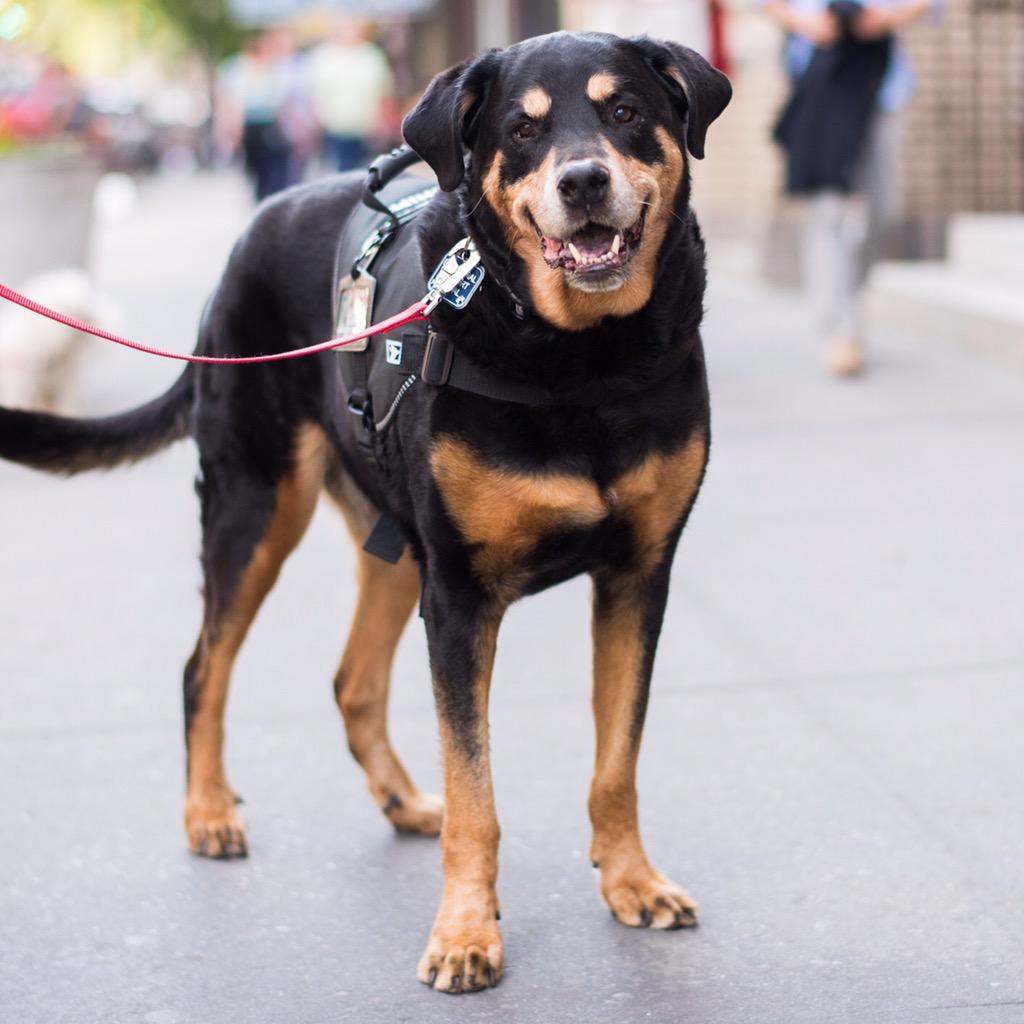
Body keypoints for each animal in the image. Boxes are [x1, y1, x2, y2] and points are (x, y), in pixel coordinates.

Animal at [2, 32, 737, 991]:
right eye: (520, 130)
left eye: (624, 111)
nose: (583, 182)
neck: (581, 357)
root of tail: (246, 238)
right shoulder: (461, 596)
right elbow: (475, 789)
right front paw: (465, 933)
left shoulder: (637, 576)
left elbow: (617, 760)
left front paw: (630, 881)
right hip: (257, 508)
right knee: (204, 667)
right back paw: (208, 813)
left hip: (395, 545)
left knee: (352, 681)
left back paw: (397, 798)